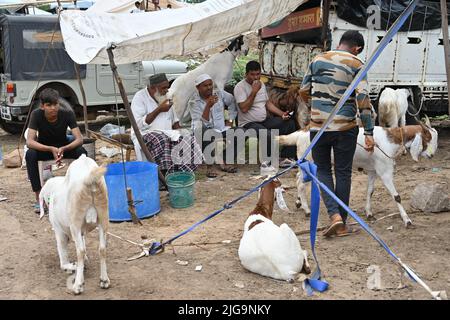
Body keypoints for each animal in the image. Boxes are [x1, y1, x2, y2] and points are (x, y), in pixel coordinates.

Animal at [48, 155, 110, 296]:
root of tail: (90, 179)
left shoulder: (60, 230)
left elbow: (64, 251)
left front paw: (73, 268)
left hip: (75, 222)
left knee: (80, 251)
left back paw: (78, 285)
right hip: (103, 217)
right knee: (102, 248)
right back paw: (104, 280)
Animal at [280, 118, 438, 228]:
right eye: (428, 138)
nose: (431, 155)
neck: (392, 139)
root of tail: (301, 133)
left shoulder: (373, 171)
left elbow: (370, 191)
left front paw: (369, 213)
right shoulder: (385, 171)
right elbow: (396, 196)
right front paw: (407, 220)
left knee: (298, 178)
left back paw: (299, 202)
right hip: (310, 161)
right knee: (301, 183)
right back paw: (307, 210)